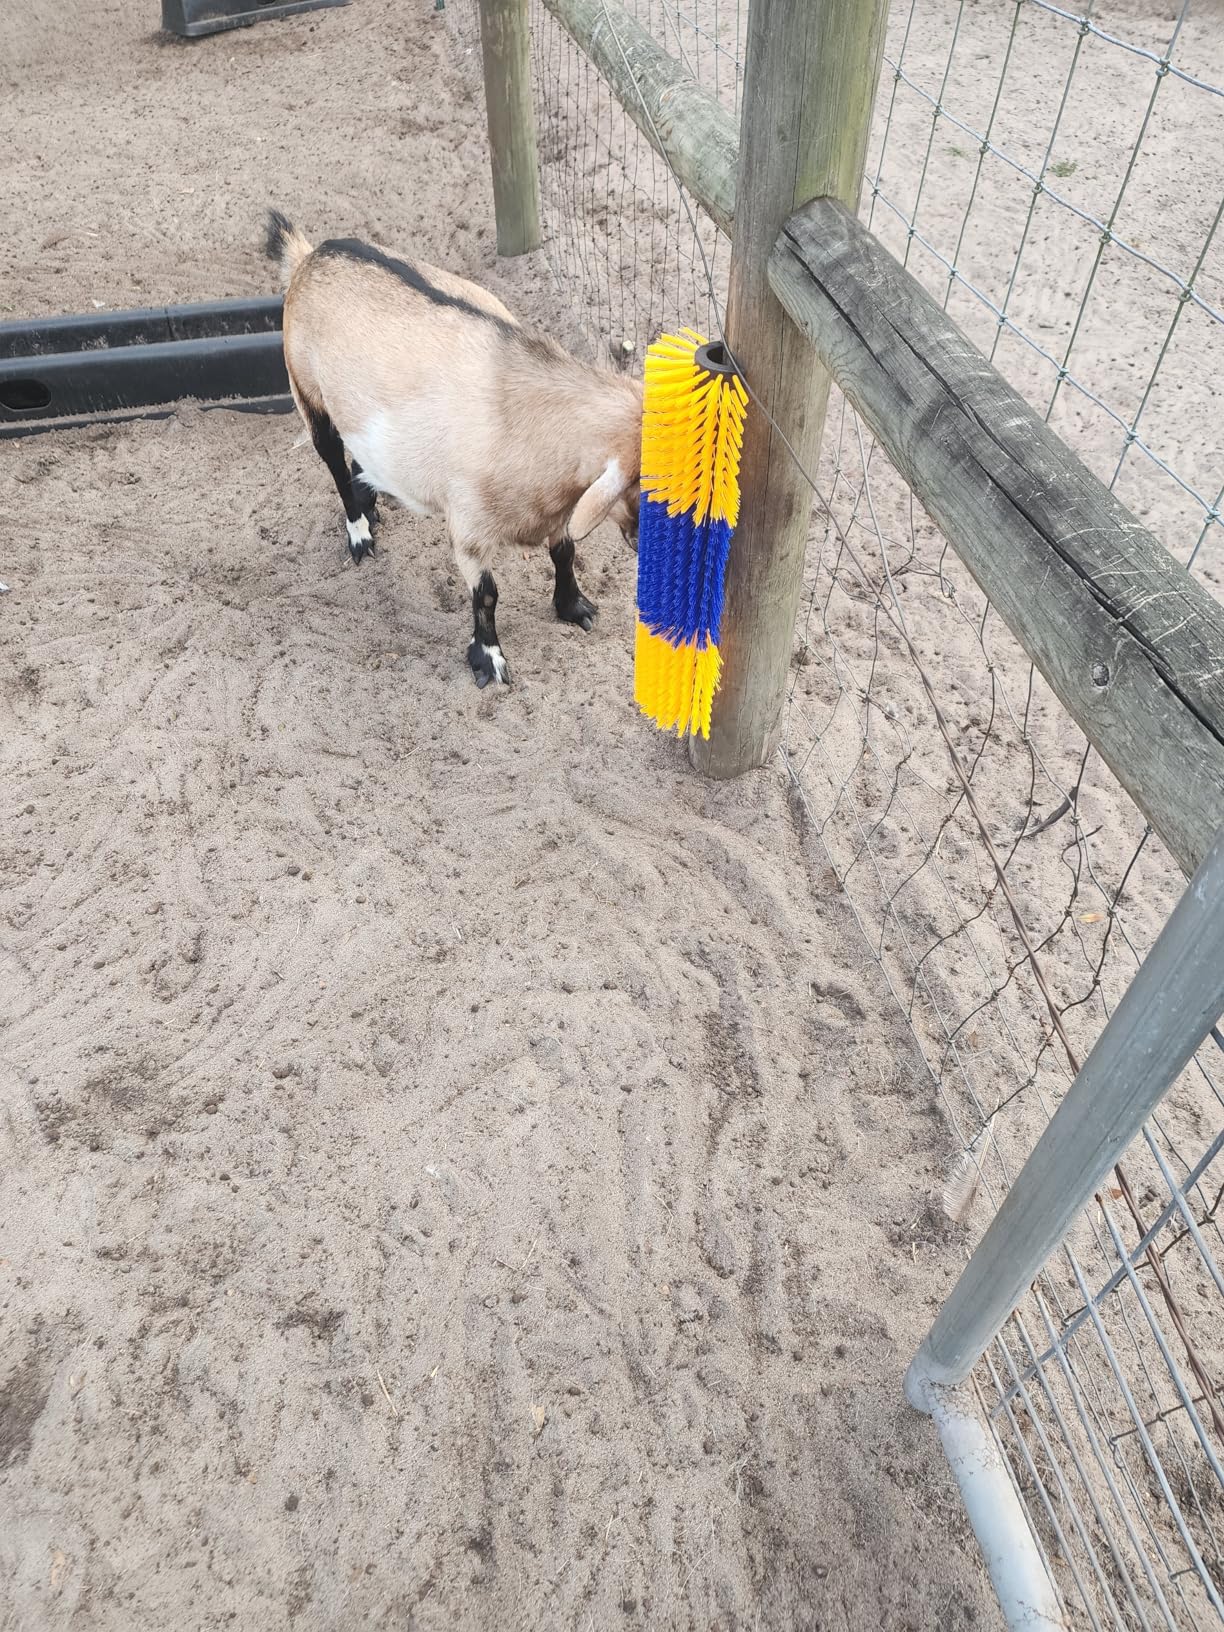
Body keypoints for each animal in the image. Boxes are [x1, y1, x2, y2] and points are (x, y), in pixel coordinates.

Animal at [264, 211, 643, 688]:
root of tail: (309, 256)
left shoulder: (560, 508)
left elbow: (565, 552)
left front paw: (575, 607)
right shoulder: (469, 529)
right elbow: (487, 594)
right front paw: (489, 659)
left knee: (359, 461)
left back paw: (369, 505)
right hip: (308, 393)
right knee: (333, 461)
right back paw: (360, 532)